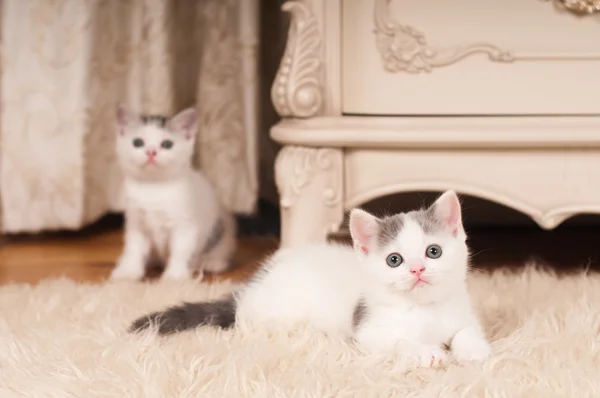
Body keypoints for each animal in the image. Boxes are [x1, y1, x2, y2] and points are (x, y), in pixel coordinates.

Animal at [110, 104, 237, 282]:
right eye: (138, 142)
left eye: (167, 144)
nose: (151, 152)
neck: (153, 188)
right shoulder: (136, 223)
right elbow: (134, 249)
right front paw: (128, 271)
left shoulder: (185, 224)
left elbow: (180, 250)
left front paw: (175, 275)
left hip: (221, 227)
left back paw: (212, 263)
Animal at [131, 190, 492, 366]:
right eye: (394, 260)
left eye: (433, 251)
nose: (417, 269)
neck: (423, 308)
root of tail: (250, 290)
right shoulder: (367, 329)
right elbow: (398, 340)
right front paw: (424, 352)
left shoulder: (462, 314)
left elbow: (465, 331)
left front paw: (473, 350)